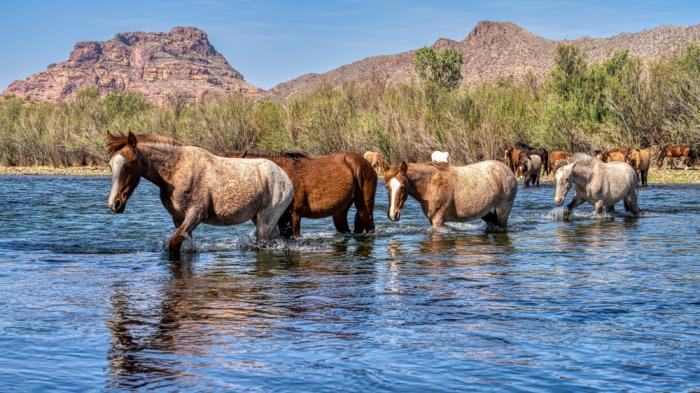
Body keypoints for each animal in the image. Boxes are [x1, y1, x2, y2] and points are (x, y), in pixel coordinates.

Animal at [106, 132, 296, 260]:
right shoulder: (179, 219)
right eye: (110, 165)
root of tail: (286, 179)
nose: (114, 204)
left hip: (266, 220)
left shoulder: (196, 214)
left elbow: (174, 244)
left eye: (128, 166)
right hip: (258, 218)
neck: (175, 171)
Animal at [224, 149, 378, 236]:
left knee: (370, 226)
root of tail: (366, 163)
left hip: (364, 208)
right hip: (339, 212)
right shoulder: (281, 219)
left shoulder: (294, 215)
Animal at [380, 159, 516, 227]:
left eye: (402, 187)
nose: (392, 214)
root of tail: (509, 171)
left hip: (503, 212)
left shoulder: (438, 221)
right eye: (387, 187)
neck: (430, 184)